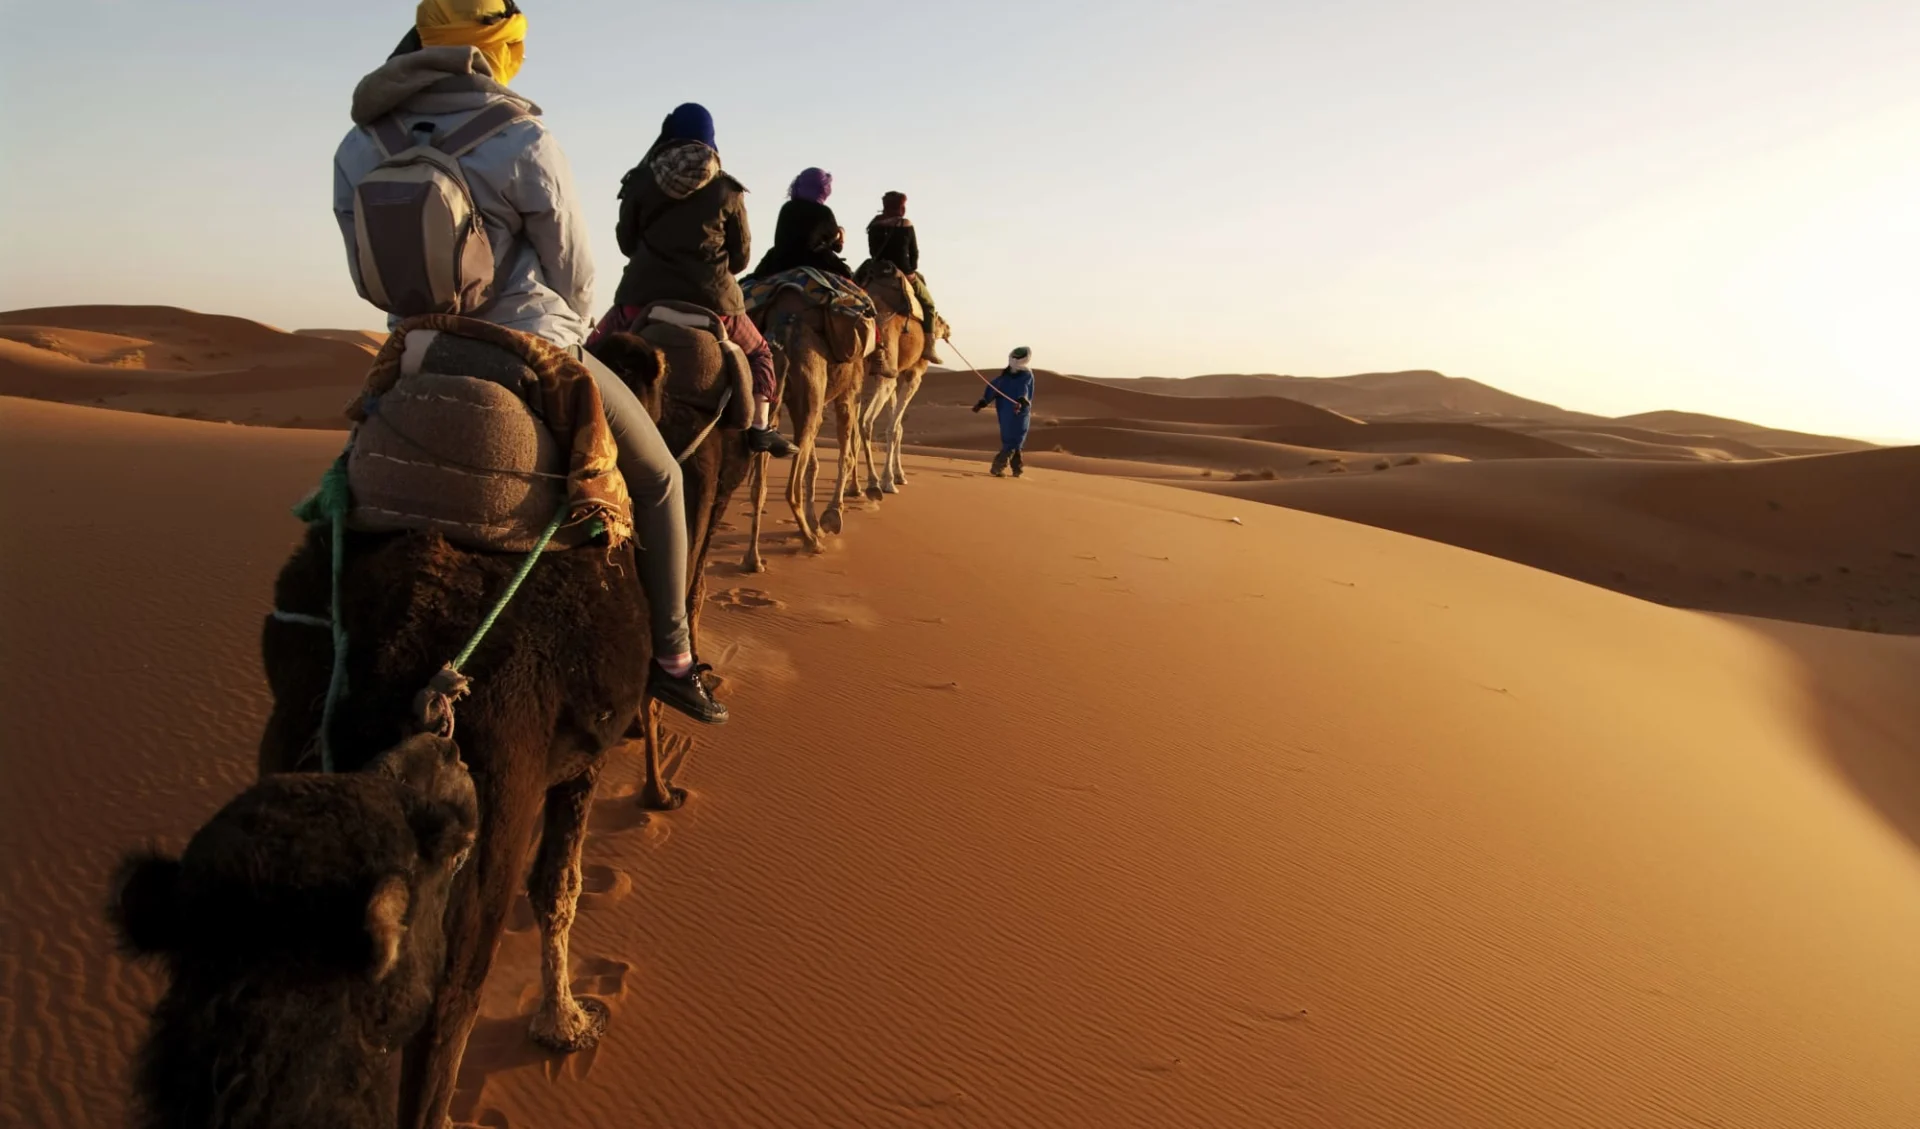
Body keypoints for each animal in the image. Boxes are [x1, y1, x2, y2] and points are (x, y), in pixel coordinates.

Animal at [255, 336, 725, 1129]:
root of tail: (396, 650)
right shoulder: (577, 762)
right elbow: (559, 886)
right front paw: (566, 1023)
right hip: (485, 812)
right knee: (447, 1008)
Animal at [741, 288, 871, 572]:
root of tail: (784, 332)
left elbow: (813, 464)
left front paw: (816, 522)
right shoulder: (848, 395)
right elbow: (846, 455)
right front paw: (832, 516)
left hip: (775, 396)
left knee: (759, 486)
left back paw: (753, 559)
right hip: (811, 392)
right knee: (791, 487)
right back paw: (812, 542)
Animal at [860, 264, 948, 499]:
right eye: (942, 322)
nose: (949, 329)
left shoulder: (895, 377)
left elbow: (896, 426)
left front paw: (897, 475)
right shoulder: (913, 375)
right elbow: (895, 428)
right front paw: (891, 480)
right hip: (883, 364)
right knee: (865, 422)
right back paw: (873, 483)